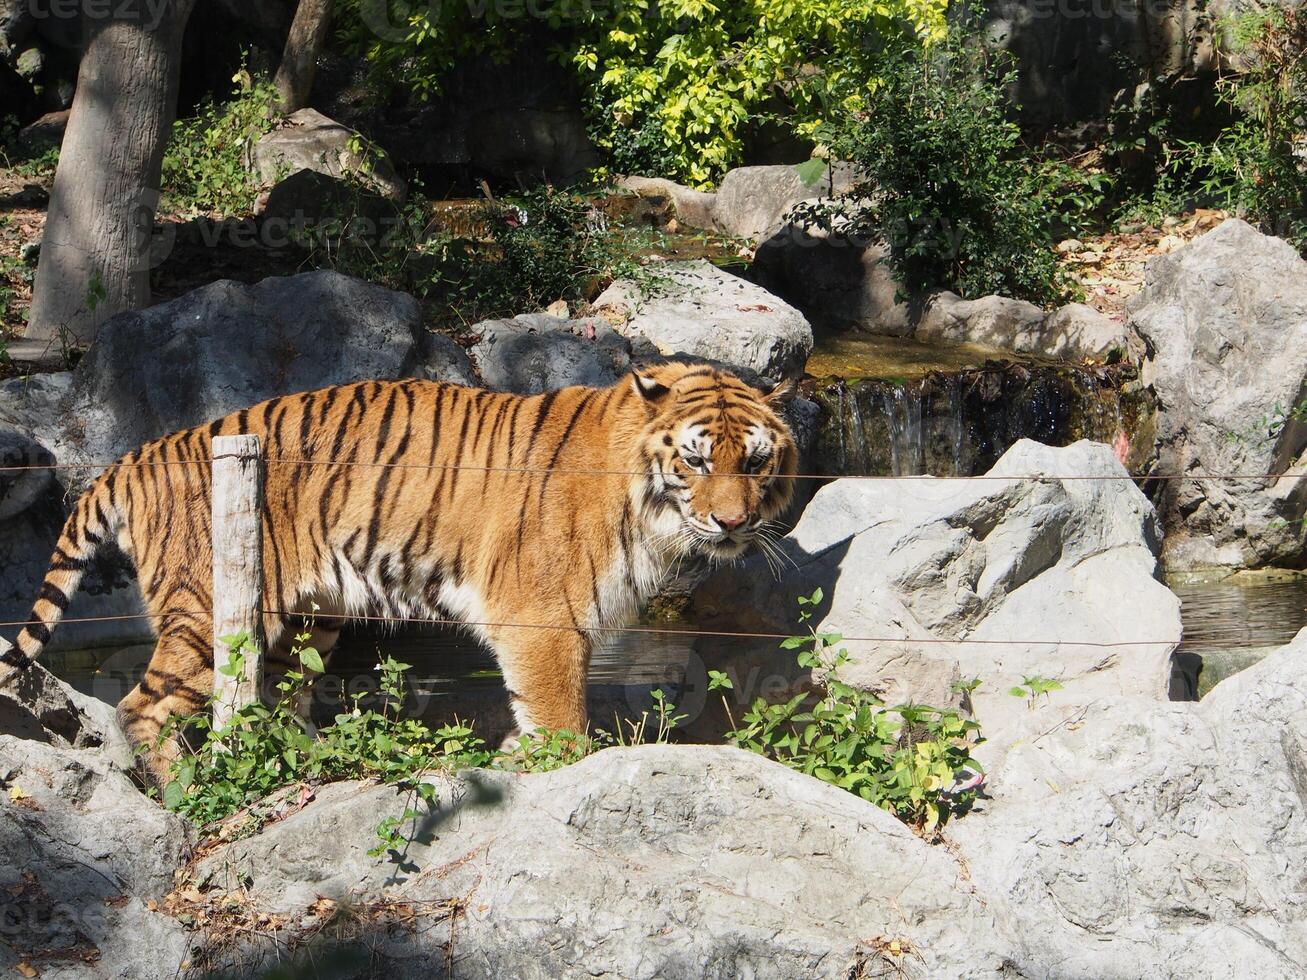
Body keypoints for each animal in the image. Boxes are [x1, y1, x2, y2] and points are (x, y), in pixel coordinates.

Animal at [0, 365, 794, 789]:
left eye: (755, 461)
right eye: (695, 460)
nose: (731, 523)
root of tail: (140, 454)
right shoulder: (544, 621)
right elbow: (561, 719)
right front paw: (552, 768)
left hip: (307, 618)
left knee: (277, 700)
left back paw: (315, 761)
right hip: (212, 612)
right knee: (142, 706)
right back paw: (189, 788)